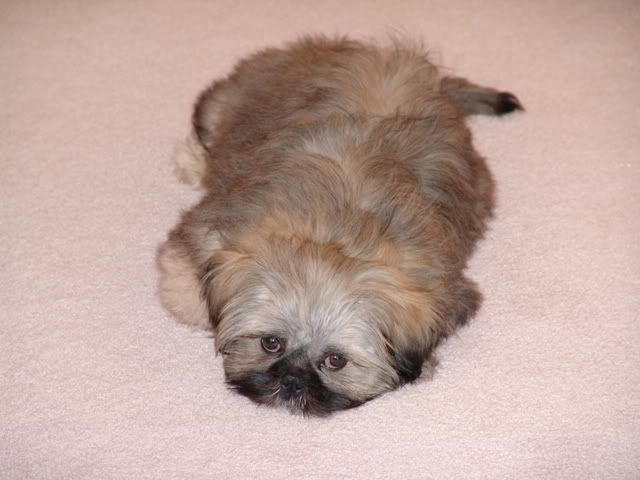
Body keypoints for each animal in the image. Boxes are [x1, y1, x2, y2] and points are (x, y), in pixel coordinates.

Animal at [157, 36, 522, 416]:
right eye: (270, 343)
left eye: (335, 361)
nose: (292, 380)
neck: (335, 233)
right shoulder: (207, 237)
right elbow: (188, 296)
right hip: (225, 101)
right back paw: (195, 160)